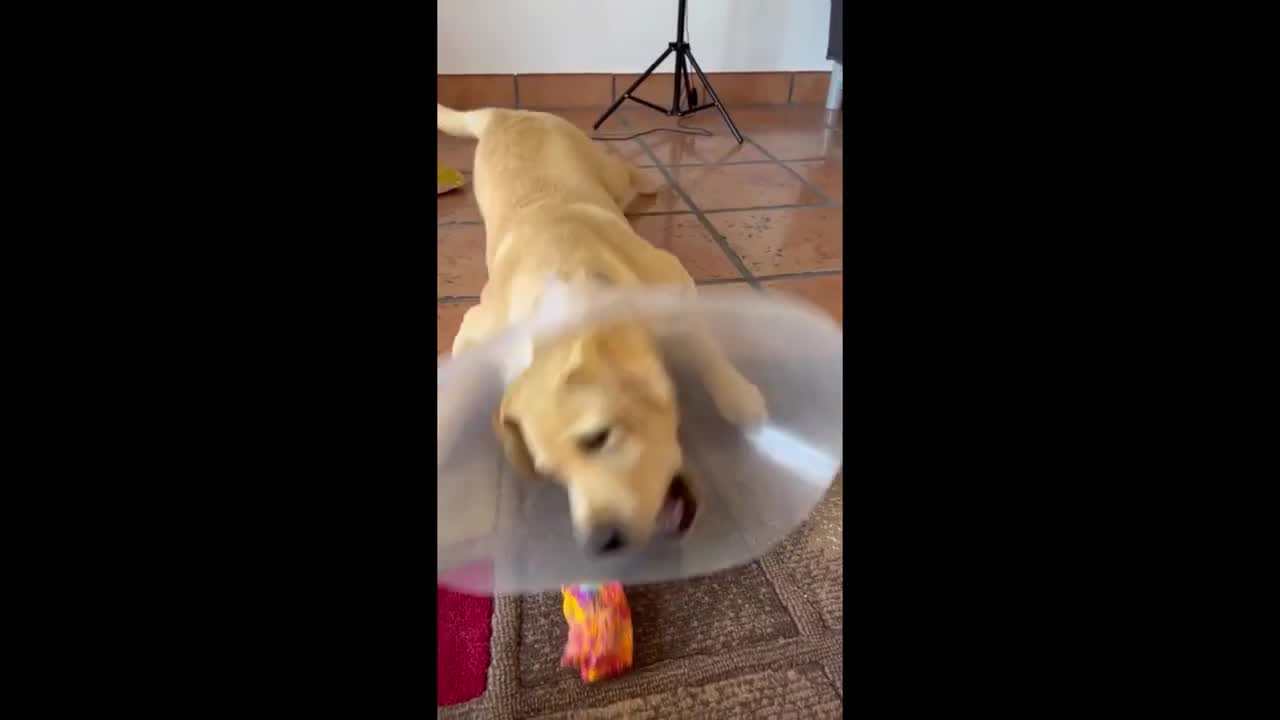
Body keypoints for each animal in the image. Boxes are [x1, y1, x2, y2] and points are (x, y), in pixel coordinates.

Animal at [435, 103, 762, 556]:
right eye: (551, 473)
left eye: (598, 438)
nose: (601, 542)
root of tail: (507, 112)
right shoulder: (476, 332)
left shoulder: (672, 279)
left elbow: (703, 346)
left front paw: (738, 396)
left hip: (600, 166)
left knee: (622, 171)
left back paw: (648, 182)